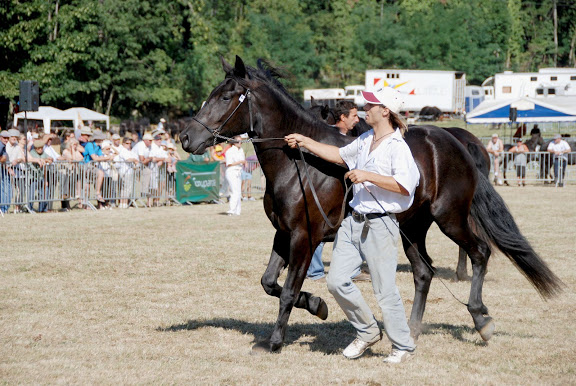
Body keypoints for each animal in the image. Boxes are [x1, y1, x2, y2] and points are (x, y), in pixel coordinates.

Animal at [181, 55, 564, 354]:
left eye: (227, 96)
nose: (186, 137)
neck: (299, 164)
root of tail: (458, 144)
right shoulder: (284, 234)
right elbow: (269, 283)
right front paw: (318, 305)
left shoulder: (305, 237)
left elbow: (288, 290)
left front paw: (275, 341)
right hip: (413, 227)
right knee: (424, 272)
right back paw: (411, 331)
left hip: (450, 217)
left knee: (480, 252)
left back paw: (481, 318)